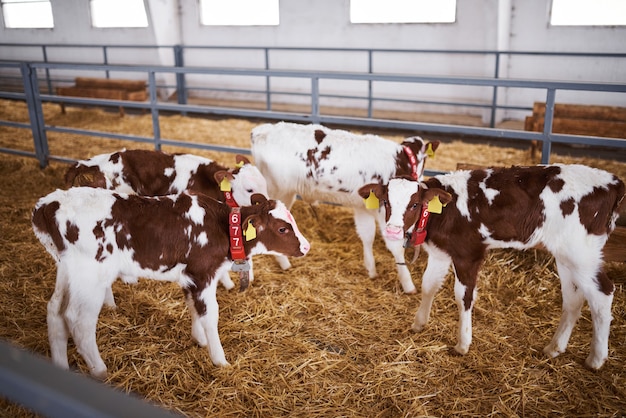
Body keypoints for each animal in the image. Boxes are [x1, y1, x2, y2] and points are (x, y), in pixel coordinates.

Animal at [31, 188, 310, 378]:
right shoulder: (203, 273)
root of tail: (49, 203)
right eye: (283, 229)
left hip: (68, 270)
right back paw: (99, 369)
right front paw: (220, 360)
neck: (220, 226)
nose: (307, 246)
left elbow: (193, 307)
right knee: (79, 320)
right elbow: (210, 315)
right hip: (91, 277)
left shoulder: (190, 276)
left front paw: (199, 339)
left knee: (55, 311)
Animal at [250, 119, 438, 292]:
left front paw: (371, 269)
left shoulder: (363, 207)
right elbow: (395, 247)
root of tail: (263, 130)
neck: (399, 162)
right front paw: (408, 285)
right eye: (425, 159)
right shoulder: (384, 210)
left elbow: (367, 236)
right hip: (278, 191)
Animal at [358, 164, 620, 370]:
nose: (392, 231)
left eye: (414, 205)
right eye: (385, 201)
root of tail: (613, 182)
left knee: (603, 294)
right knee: (573, 298)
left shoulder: (468, 254)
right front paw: (419, 323)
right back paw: (554, 347)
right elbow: (428, 285)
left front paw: (462, 344)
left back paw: (596, 359)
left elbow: (463, 296)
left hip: (582, 254)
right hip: (565, 256)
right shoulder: (441, 253)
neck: (444, 211)